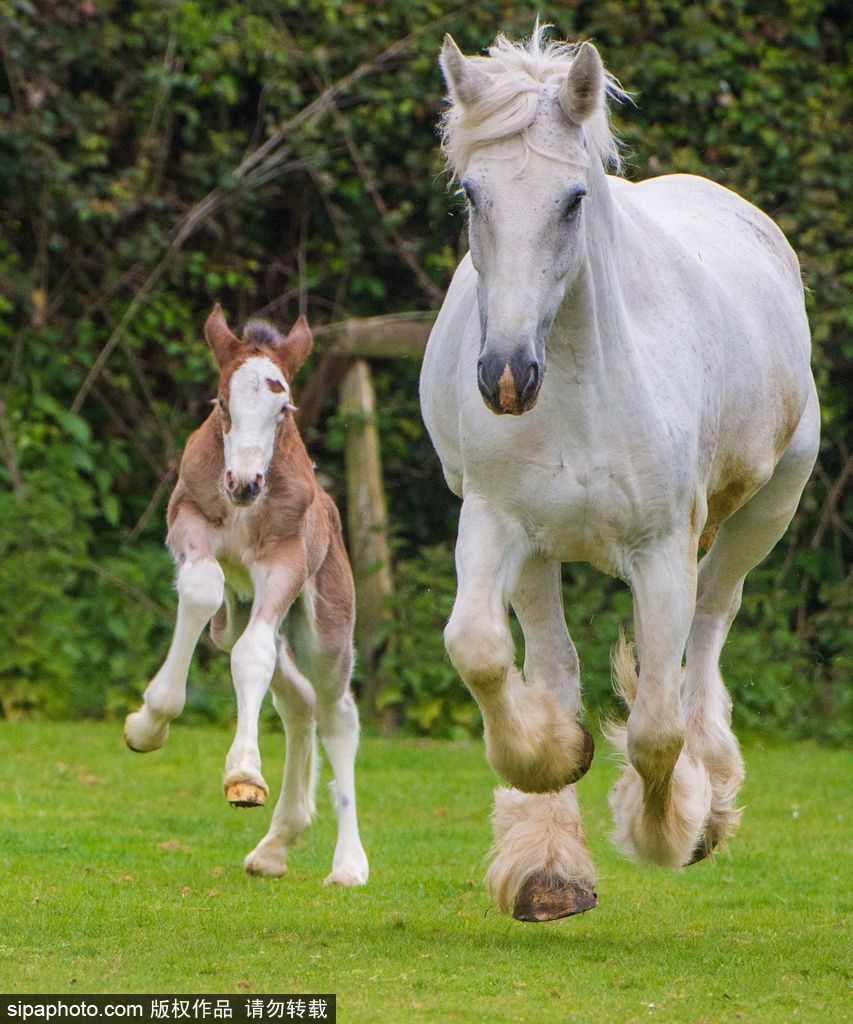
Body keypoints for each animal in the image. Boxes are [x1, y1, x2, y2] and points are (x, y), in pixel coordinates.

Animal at [124, 305, 368, 888]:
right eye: (221, 403)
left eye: (285, 408)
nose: (244, 483)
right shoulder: (188, 521)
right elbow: (201, 590)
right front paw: (148, 724)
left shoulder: (285, 563)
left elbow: (251, 657)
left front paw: (242, 774)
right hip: (234, 619)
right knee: (297, 701)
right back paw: (276, 846)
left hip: (323, 629)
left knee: (336, 713)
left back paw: (348, 864)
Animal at [419, 28, 819, 925]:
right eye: (471, 196)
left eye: (572, 199)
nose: (503, 376)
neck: (579, 376)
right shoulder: (492, 520)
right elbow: (478, 651)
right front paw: (551, 756)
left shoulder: (661, 548)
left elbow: (656, 729)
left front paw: (671, 827)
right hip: (536, 550)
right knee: (549, 660)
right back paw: (547, 865)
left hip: (762, 514)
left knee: (708, 628)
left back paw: (708, 799)